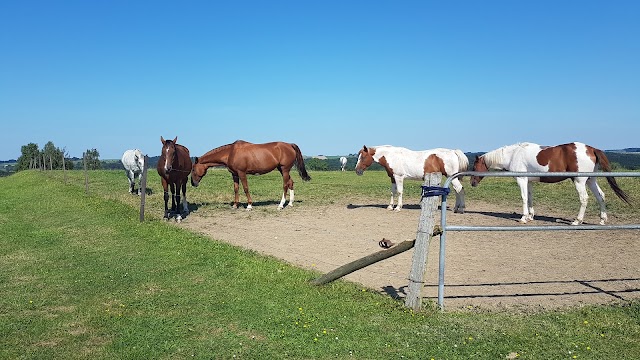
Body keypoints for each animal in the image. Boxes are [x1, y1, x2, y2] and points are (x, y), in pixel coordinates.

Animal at [470, 141, 632, 224]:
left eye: (474, 166)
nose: (472, 183)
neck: (514, 154)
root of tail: (591, 149)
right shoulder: (529, 182)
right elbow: (530, 198)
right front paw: (530, 216)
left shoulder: (521, 180)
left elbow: (523, 198)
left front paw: (523, 218)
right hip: (591, 180)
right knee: (601, 196)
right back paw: (602, 220)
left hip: (579, 181)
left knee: (584, 198)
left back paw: (577, 220)